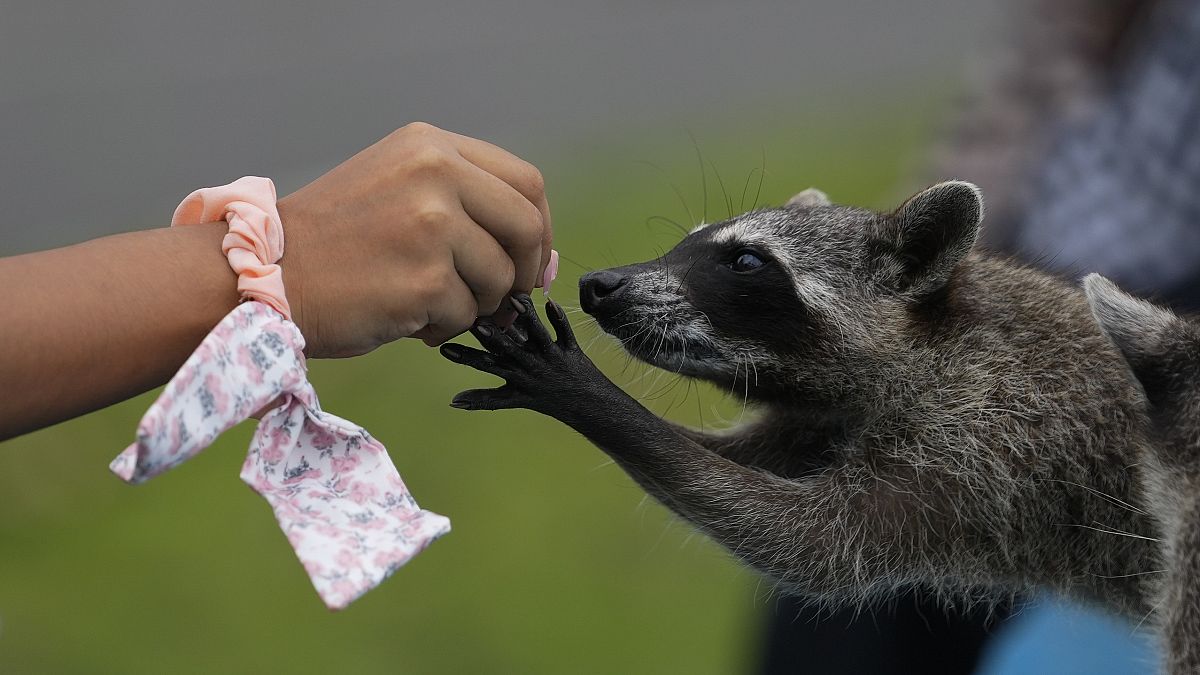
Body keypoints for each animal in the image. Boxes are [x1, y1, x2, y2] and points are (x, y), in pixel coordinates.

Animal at [441, 181, 1161, 619]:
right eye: (690, 240)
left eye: (746, 262)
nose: (599, 285)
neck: (932, 340)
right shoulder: (826, 414)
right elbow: (749, 466)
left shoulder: (996, 432)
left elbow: (808, 543)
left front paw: (592, 399)